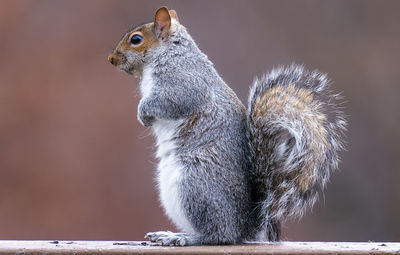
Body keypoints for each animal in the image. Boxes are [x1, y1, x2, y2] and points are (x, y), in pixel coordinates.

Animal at [108, 5, 346, 245]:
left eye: (136, 39)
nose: (111, 59)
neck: (170, 52)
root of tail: (244, 227)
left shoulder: (183, 82)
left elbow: (172, 101)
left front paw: (143, 113)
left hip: (194, 184)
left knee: (218, 235)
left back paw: (182, 238)